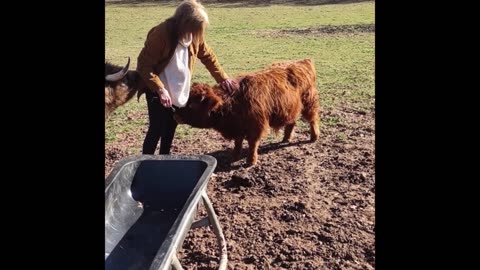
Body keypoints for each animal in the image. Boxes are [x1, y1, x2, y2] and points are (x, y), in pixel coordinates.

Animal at [174, 58, 320, 166]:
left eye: (192, 105)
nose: (175, 113)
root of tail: (303, 61)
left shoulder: (256, 125)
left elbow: (252, 144)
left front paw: (251, 161)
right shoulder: (238, 128)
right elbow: (238, 142)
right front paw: (234, 156)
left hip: (309, 102)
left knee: (313, 119)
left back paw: (314, 137)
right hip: (291, 107)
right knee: (291, 122)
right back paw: (286, 138)